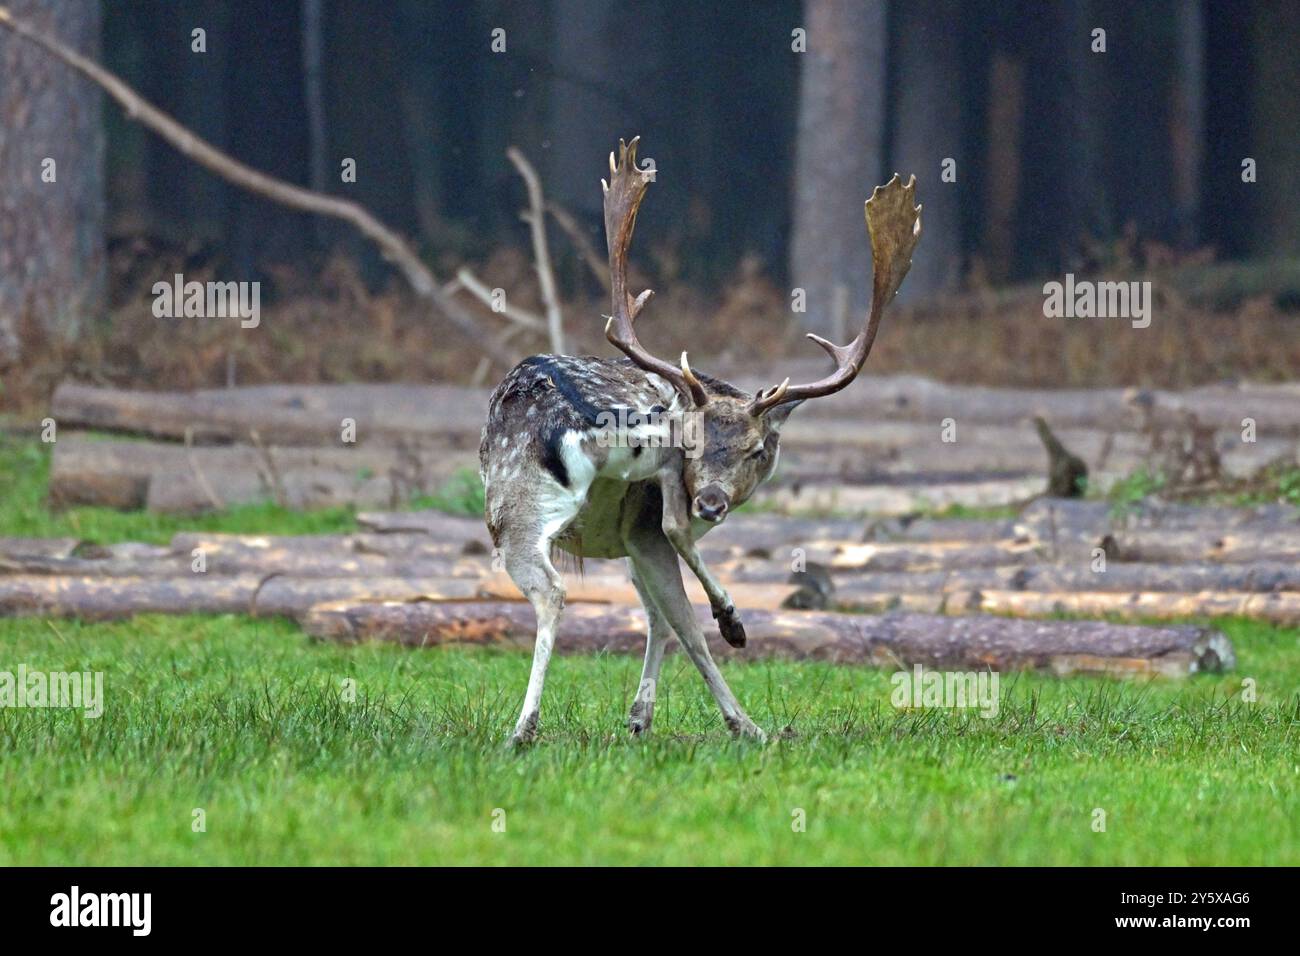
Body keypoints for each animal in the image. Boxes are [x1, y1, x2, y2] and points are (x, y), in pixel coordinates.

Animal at [480, 138, 921, 746]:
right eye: (702, 447)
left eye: (756, 450)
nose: (712, 501)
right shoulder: (645, 525)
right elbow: (673, 614)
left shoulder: (626, 540)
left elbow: (654, 616)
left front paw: (639, 717)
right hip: (538, 500)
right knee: (652, 577)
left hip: (518, 506)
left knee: (568, 589)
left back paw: (529, 726)